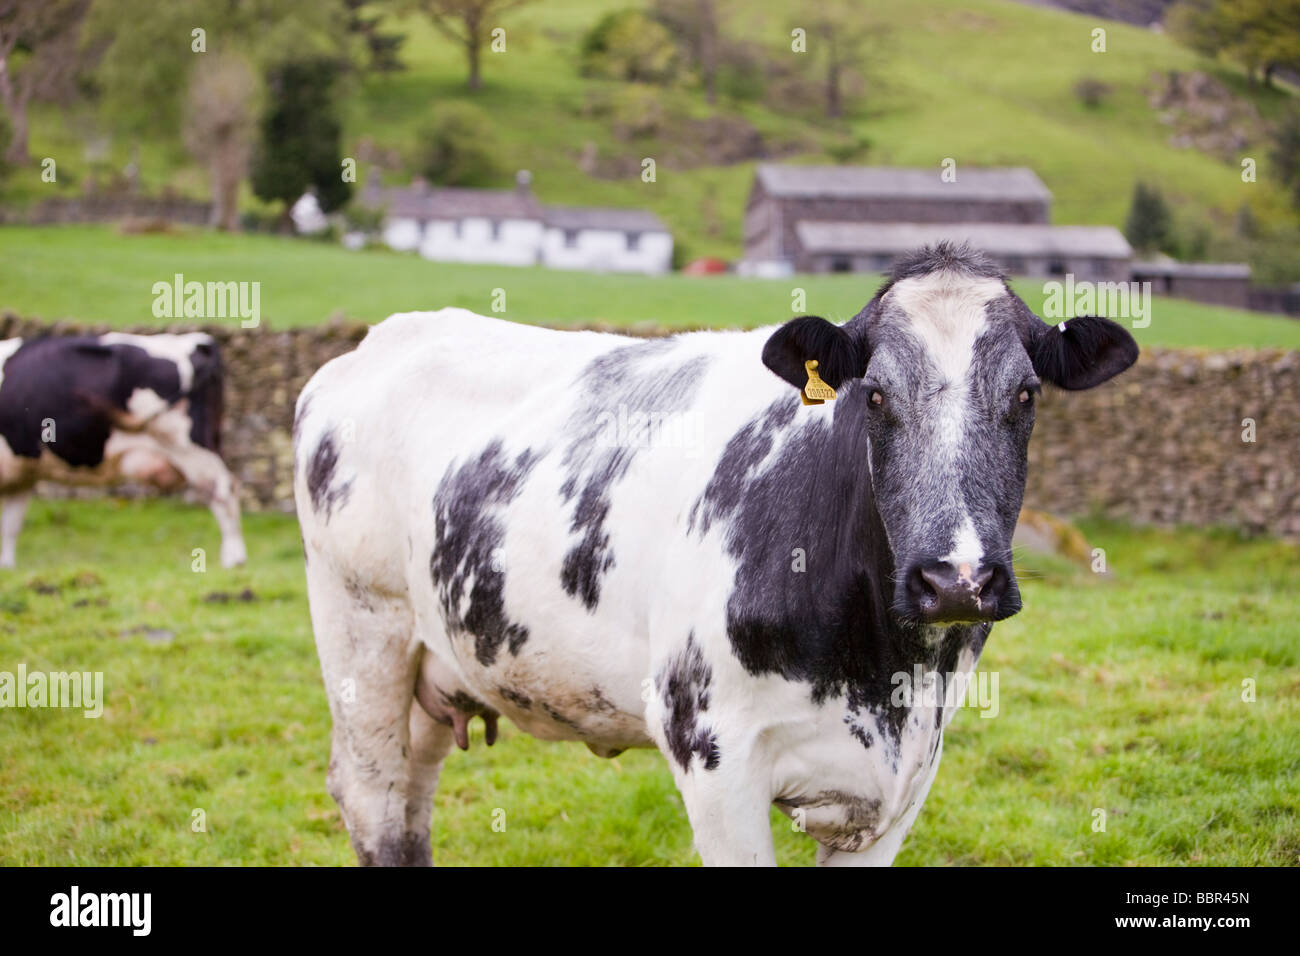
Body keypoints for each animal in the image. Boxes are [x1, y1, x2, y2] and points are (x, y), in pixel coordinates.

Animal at [0, 330, 245, 567]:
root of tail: (201, 344)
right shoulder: (21, 476)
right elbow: (10, 525)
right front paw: (7, 566)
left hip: (189, 447)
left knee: (223, 493)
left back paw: (233, 559)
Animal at [295, 244, 1138, 868]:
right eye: (873, 394)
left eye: (1026, 394)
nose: (955, 580)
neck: (881, 670)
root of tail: (379, 339)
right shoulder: (712, 755)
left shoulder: (908, 776)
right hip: (361, 627)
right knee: (373, 798)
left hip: (438, 663)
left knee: (412, 799)